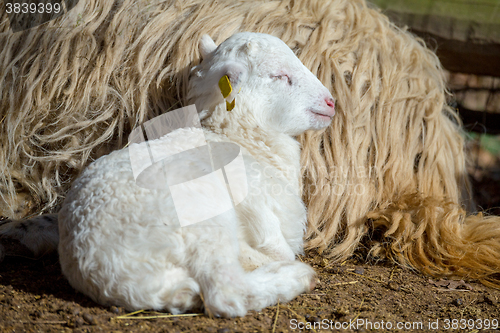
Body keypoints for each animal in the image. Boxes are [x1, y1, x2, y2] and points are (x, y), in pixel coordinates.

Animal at [56, 31, 334, 316]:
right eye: (279, 75)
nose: (330, 102)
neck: (238, 137)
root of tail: (102, 268)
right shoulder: (251, 197)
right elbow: (274, 242)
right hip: (202, 222)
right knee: (227, 292)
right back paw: (295, 276)